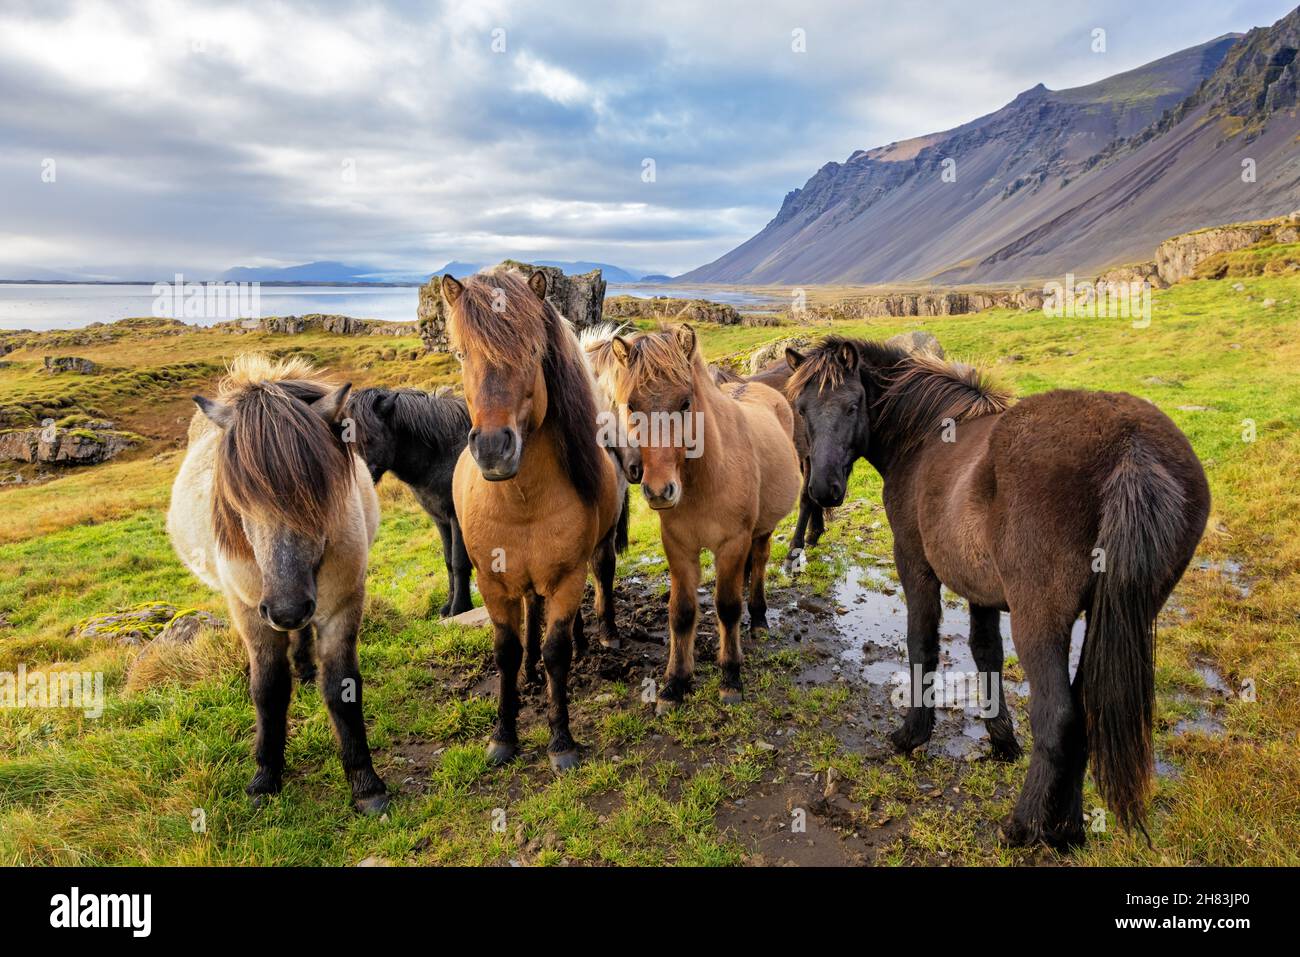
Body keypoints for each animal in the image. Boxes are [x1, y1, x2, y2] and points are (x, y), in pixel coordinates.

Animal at [167, 354, 389, 814]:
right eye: (238, 500)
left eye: (318, 495)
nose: (286, 609)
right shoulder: (251, 611)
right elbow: (268, 689)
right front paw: (265, 777)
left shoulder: (341, 604)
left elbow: (342, 688)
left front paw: (365, 783)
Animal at [346, 386, 475, 616]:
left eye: (368, 439)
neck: (442, 453)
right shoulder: (440, 519)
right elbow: (448, 561)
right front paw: (448, 606)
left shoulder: (456, 518)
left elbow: (459, 562)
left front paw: (460, 607)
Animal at [445, 268, 626, 773]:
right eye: (461, 353)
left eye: (531, 351)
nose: (492, 448)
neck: (522, 503)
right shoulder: (492, 581)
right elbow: (506, 652)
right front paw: (503, 736)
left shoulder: (566, 577)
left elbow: (556, 651)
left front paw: (561, 740)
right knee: (531, 610)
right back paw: (530, 672)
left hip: (596, 550)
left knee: (600, 580)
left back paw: (599, 638)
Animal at [610, 325, 801, 710]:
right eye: (632, 406)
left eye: (685, 403)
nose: (659, 490)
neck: (707, 476)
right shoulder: (678, 546)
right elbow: (681, 612)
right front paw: (675, 683)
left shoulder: (732, 543)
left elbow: (727, 607)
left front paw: (730, 677)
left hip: (762, 530)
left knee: (759, 562)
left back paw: (758, 618)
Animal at [785, 336, 1209, 848]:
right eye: (801, 408)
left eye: (852, 405)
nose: (823, 489)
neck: (925, 435)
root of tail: (1130, 446)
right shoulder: (981, 591)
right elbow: (985, 651)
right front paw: (1001, 739)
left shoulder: (916, 565)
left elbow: (922, 645)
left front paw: (912, 734)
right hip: (1116, 616)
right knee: (1085, 711)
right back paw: (1066, 829)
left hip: (1040, 620)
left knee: (1059, 717)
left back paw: (1023, 825)